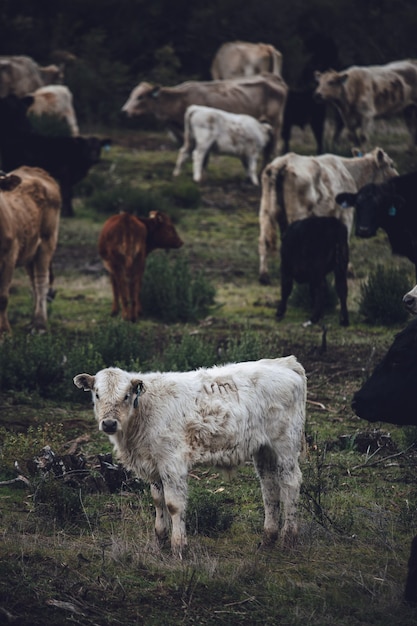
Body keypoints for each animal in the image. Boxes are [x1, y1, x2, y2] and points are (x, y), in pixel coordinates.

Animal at [0, 163, 61, 334]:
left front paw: (4, 331)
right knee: (33, 283)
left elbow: (3, 297)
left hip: (46, 243)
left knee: (41, 283)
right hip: (29, 252)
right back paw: (33, 322)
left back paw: (40, 324)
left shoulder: (9, 256)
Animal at [74, 356, 306, 556]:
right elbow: (158, 502)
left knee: (290, 483)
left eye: (126, 396)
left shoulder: (172, 462)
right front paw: (159, 541)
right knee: (269, 488)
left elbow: (173, 505)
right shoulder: (154, 465)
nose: (109, 423)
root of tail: (284, 363)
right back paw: (268, 539)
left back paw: (289, 539)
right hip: (263, 449)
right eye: (97, 394)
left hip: (286, 444)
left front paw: (178, 547)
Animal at [122, 74, 288, 155]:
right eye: (131, 95)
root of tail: (272, 77)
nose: (124, 111)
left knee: (275, 148)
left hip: (276, 123)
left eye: (140, 97)